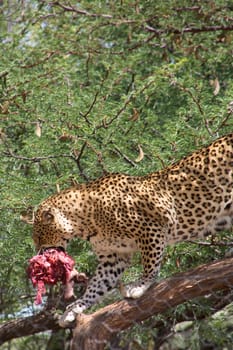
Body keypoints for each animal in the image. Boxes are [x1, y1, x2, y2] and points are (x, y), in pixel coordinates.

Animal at [32, 133, 233, 326]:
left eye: (39, 237)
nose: (38, 252)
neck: (85, 222)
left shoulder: (151, 228)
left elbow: (150, 262)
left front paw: (141, 285)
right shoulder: (113, 257)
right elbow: (97, 285)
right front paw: (75, 308)